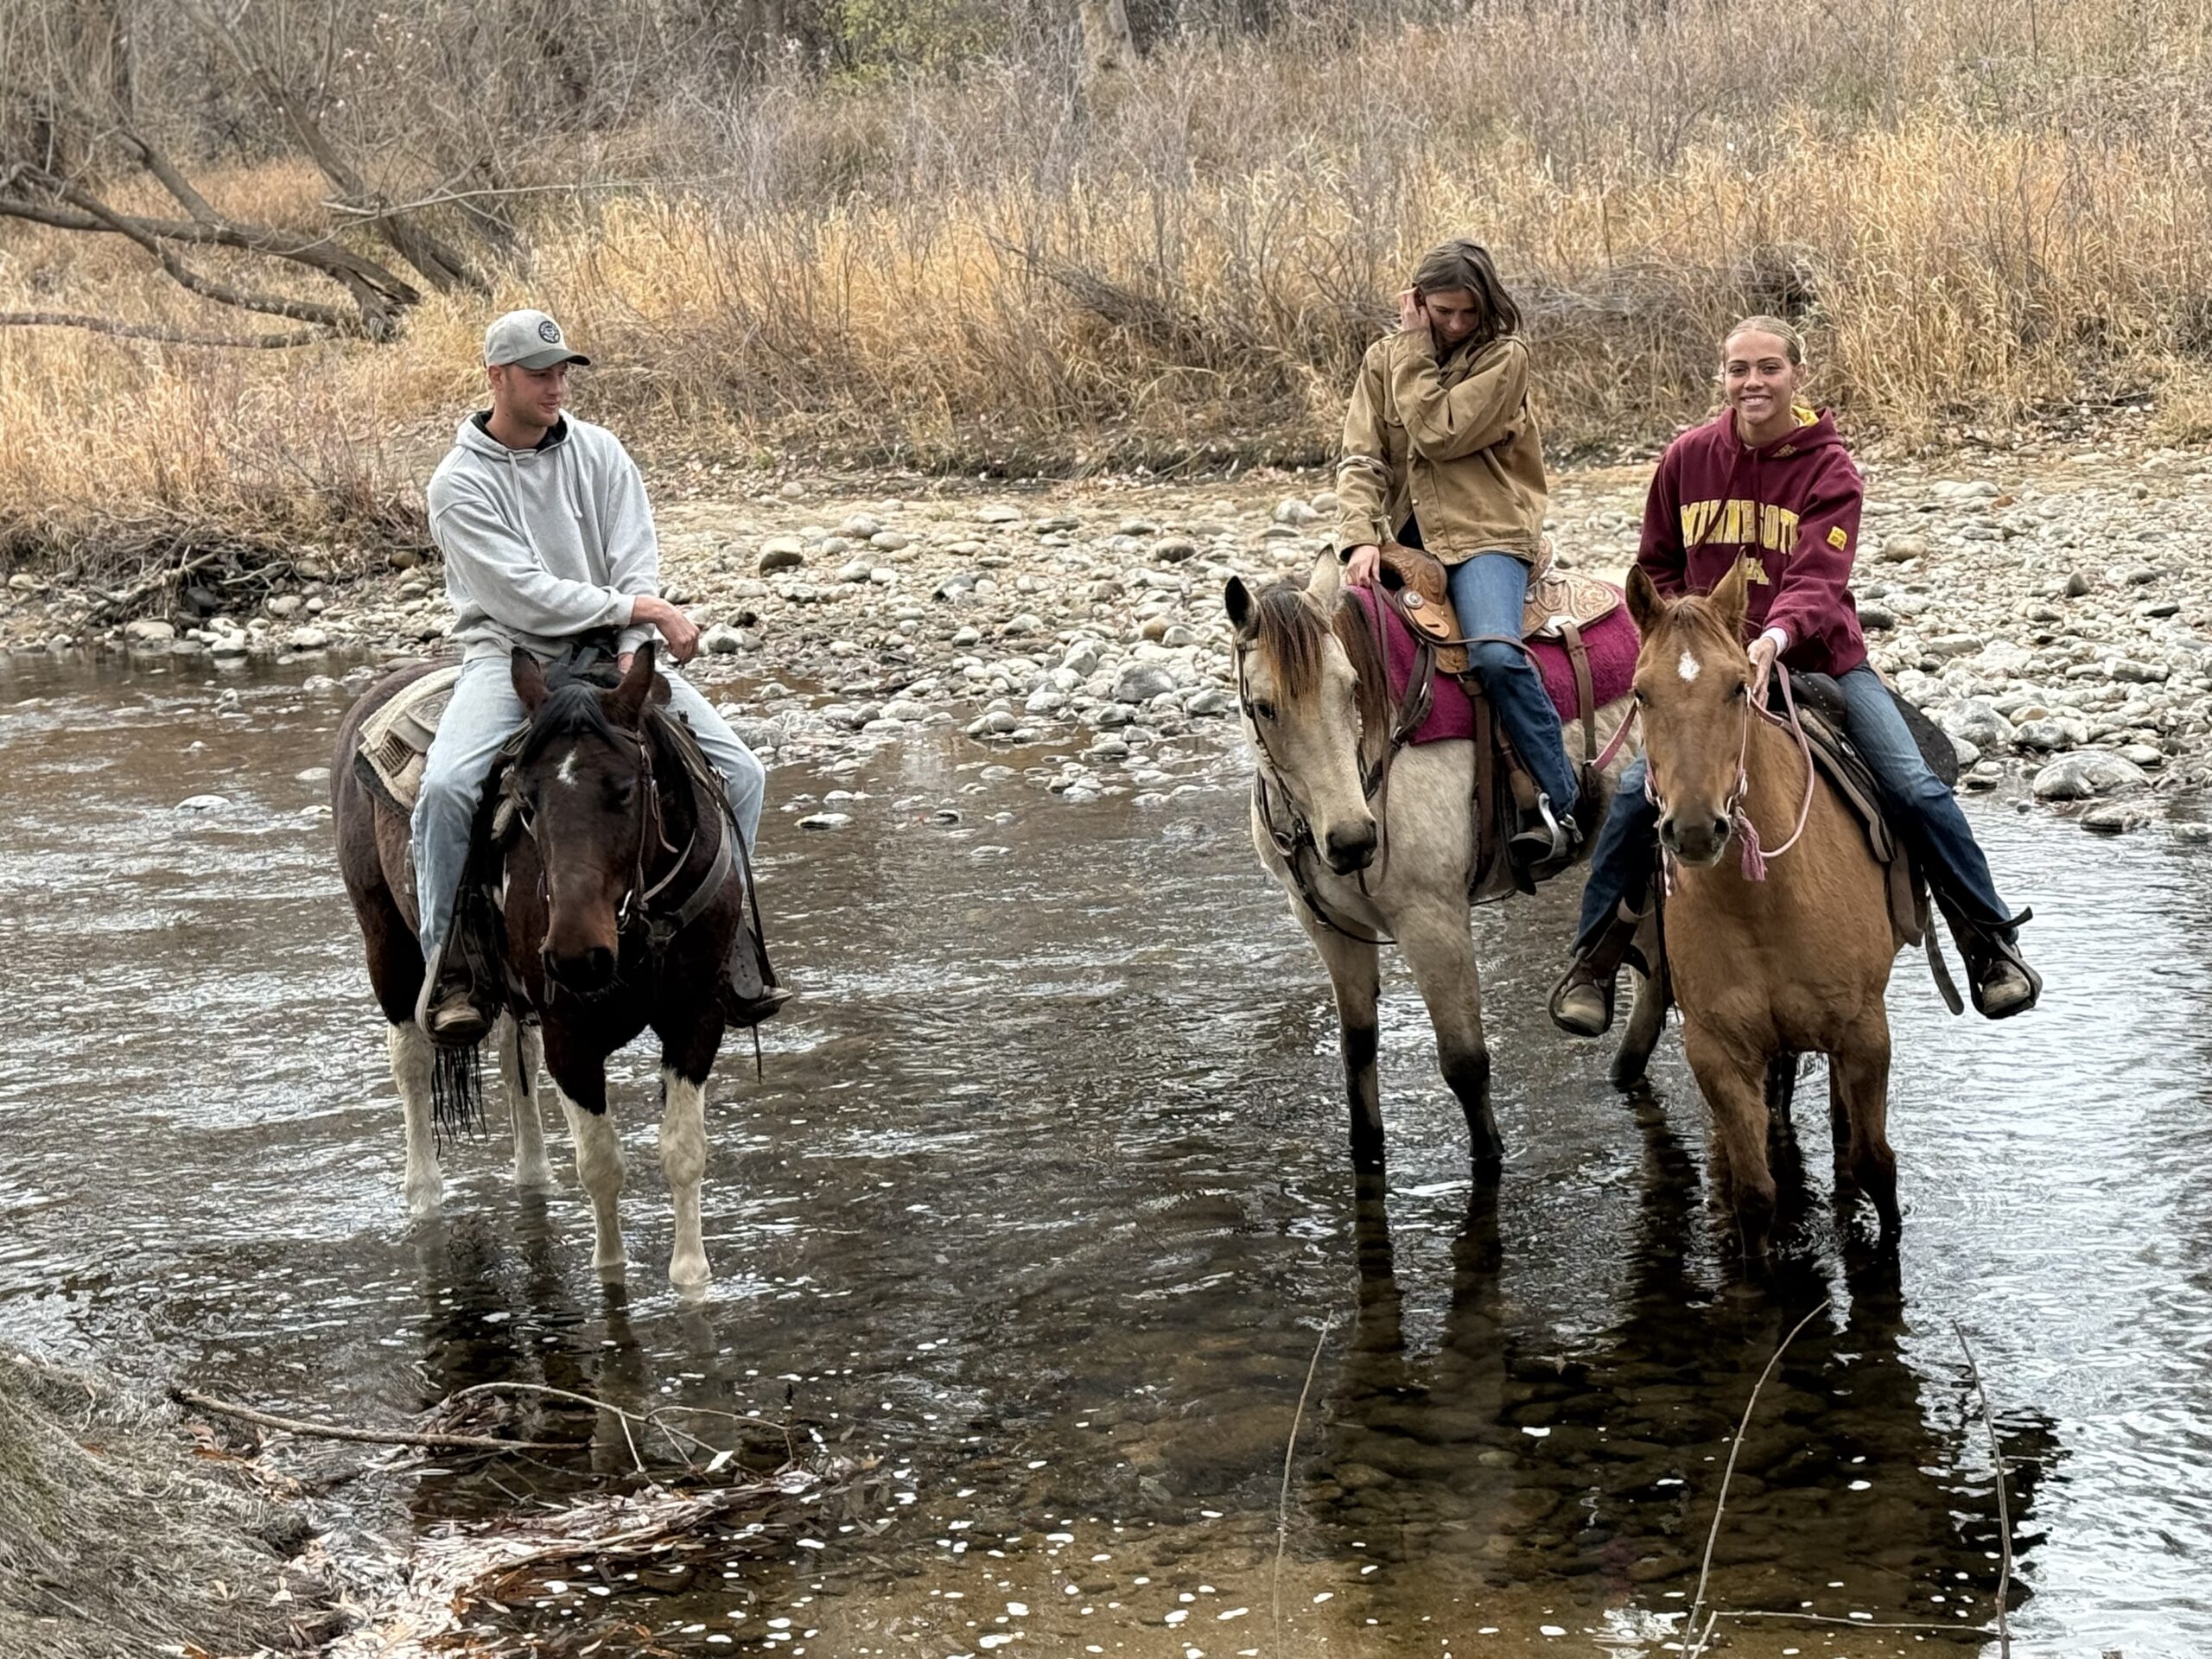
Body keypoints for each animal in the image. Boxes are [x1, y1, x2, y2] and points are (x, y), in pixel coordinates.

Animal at [332, 643, 745, 1291]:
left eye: (624, 790)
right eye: (525, 800)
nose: (577, 956)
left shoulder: (696, 1019)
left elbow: (683, 1151)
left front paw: (691, 1279)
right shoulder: (570, 1034)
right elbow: (601, 1164)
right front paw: (610, 1276)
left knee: (512, 1060)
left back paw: (532, 1176)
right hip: (388, 947)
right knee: (412, 1063)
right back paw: (423, 1197)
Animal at [1224, 549, 1655, 1177]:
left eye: (1351, 688)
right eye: (1263, 707)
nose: (1352, 840)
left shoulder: (1434, 921)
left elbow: (1466, 1064)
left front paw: (1490, 1161)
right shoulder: (1330, 928)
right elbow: (1357, 1050)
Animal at [1623, 558, 1901, 1255]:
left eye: (1736, 688)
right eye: (1640, 694)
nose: (1696, 830)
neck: (1763, 907)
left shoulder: (1865, 1032)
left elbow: (1876, 1167)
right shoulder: (1719, 1054)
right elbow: (1754, 1197)